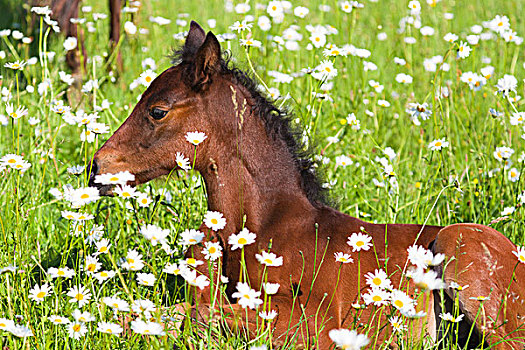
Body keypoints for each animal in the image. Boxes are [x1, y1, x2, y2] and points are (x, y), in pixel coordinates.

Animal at [89, 21, 524, 350]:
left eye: (157, 111)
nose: (96, 167)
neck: (258, 227)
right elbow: (157, 313)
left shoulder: (320, 321)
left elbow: (204, 313)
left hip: (462, 252)